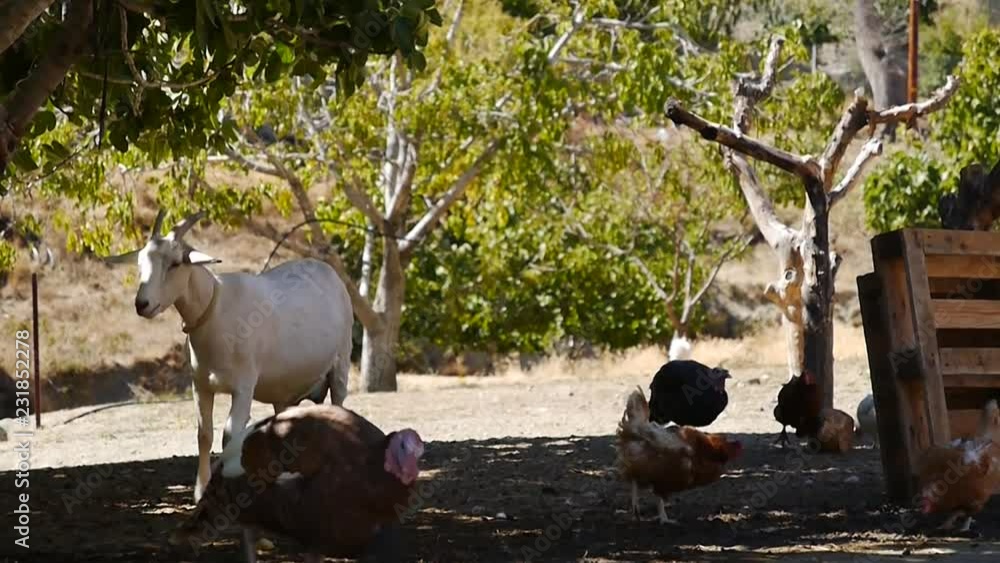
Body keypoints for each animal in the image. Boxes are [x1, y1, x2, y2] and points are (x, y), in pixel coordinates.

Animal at [105, 209, 354, 504]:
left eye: (176, 263)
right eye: (140, 263)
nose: (142, 304)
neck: (215, 308)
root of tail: (328, 272)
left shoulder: (243, 385)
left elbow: (230, 435)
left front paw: (230, 480)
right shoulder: (200, 385)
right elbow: (204, 434)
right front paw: (201, 490)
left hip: (341, 360)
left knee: (338, 402)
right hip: (285, 387)